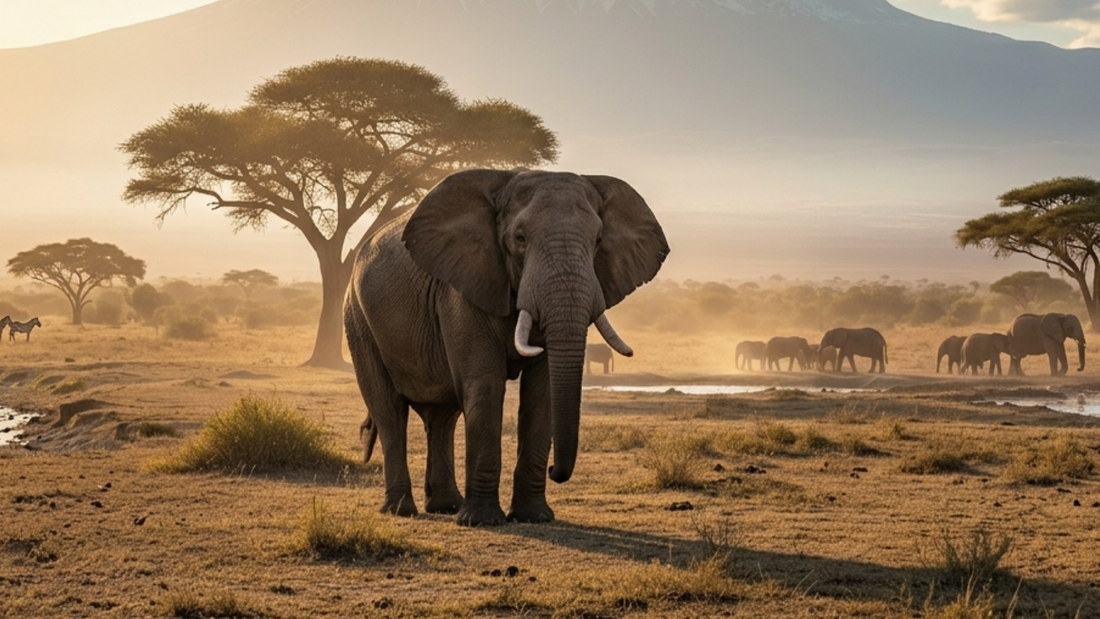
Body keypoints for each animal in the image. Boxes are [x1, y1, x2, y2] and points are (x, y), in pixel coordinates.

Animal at [345, 169, 668, 526]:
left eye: (598, 240)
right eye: (520, 238)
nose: (554, 469)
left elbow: (542, 393)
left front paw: (534, 517)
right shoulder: (463, 288)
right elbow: (485, 385)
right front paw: (481, 521)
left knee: (442, 415)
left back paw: (446, 506)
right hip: (358, 320)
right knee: (389, 409)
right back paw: (402, 510)